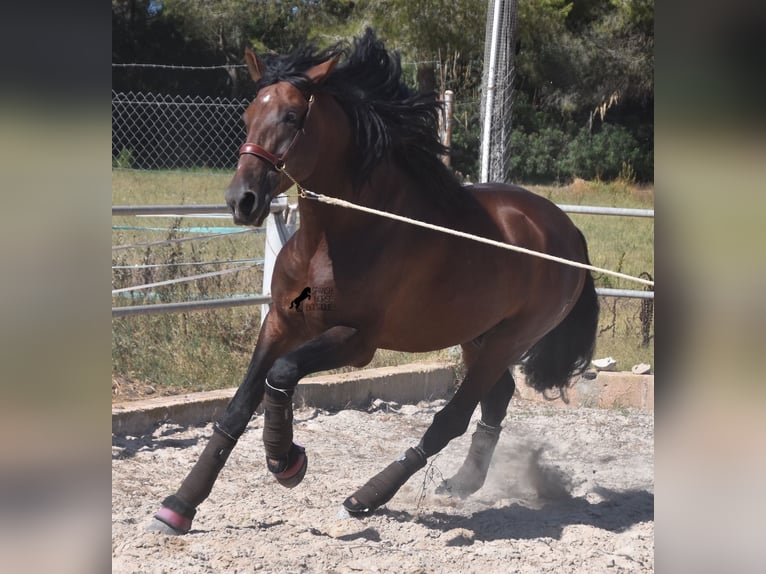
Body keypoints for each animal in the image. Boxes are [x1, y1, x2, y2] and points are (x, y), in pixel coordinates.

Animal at [153, 29, 604, 536]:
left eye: (291, 117)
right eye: (248, 115)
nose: (242, 200)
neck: (335, 239)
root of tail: (568, 231)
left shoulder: (356, 341)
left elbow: (282, 374)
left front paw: (286, 461)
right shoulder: (279, 323)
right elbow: (238, 405)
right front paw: (179, 505)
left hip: (510, 339)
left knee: (451, 418)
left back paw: (365, 498)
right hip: (477, 335)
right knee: (497, 399)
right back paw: (461, 483)